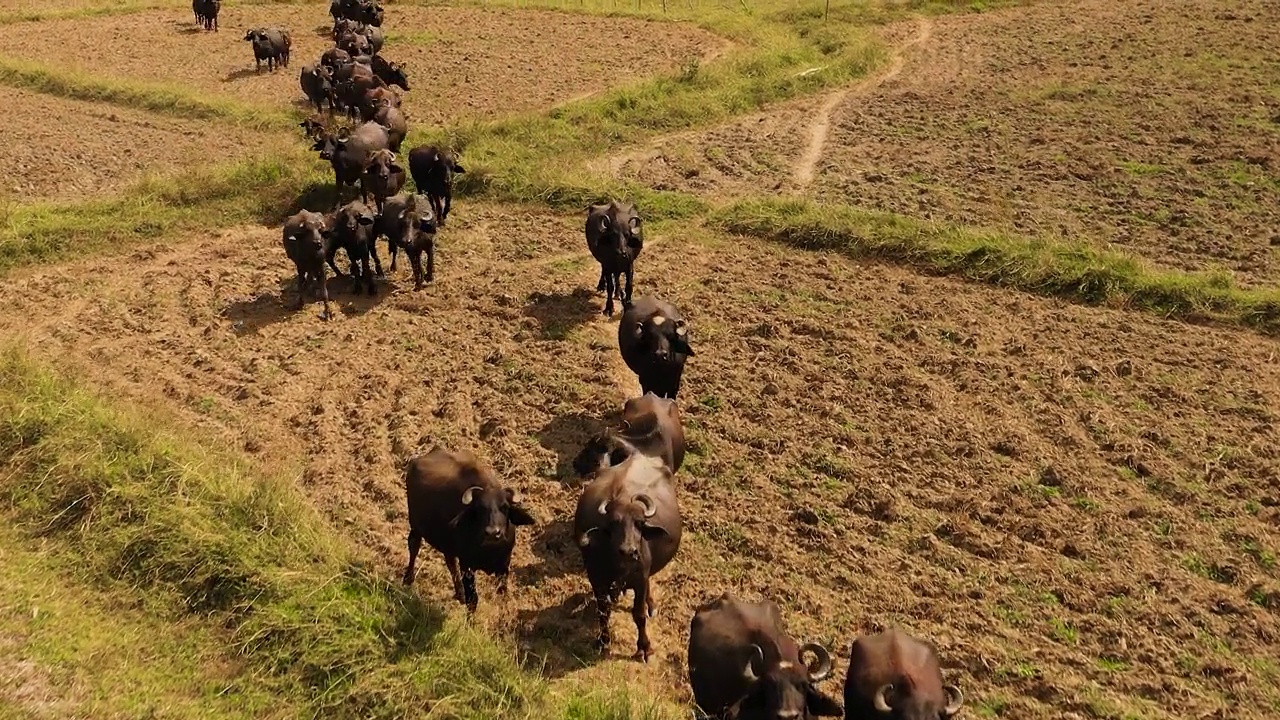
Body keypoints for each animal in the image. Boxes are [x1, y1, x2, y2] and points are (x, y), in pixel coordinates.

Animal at [404, 445, 535, 607]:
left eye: (504, 507)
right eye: (479, 508)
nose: (493, 533)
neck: (488, 550)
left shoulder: (504, 566)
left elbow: (502, 593)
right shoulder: (467, 565)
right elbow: (473, 599)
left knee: (450, 563)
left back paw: (459, 593)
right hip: (415, 525)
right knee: (414, 546)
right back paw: (408, 579)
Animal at [578, 450, 680, 661]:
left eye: (640, 523)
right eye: (613, 524)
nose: (629, 551)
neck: (619, 567)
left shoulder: (640, 579)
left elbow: (638, 614)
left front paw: (644, 648)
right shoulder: (596, 579)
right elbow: (603, 611)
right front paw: (603, 641)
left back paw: (650, 605)